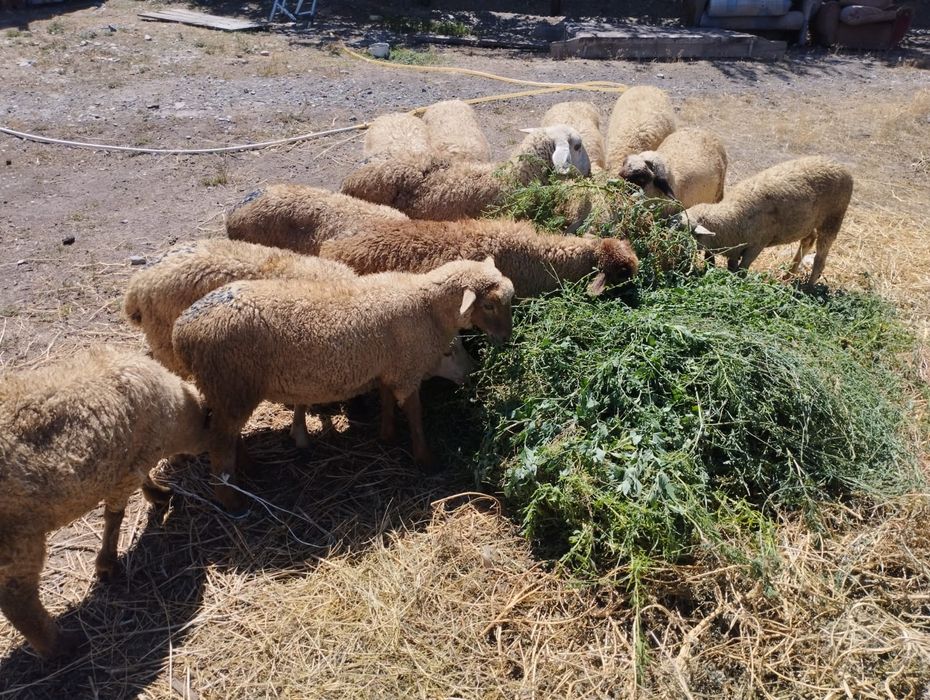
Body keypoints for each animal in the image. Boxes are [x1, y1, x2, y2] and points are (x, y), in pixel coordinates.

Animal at [0, 346, 209, 659]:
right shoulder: (130, 465)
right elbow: (115, 515)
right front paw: (108, 563)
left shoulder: (131, 460)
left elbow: (140, 483)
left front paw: (159, 493)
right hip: (18, 538)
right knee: (18, 601)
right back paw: (62, 646)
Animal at [172, 258, 514, 514]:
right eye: (490, 306)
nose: (506, 339)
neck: (426, 306)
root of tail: (182, 332)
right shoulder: (407, 369)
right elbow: (415, 415)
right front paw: (426, 460)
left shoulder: (388, 366)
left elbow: (386, 401)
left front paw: (387, 436)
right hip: (233, 383)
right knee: (219, 442)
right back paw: (233, 501)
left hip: (225, 389)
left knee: (228, 435)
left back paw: (251, 468)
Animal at [679, 156, 853, 286]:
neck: (731, 217)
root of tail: (841, 167)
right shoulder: (735, 246)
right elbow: (733, 267)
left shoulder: (757, 245)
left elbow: (742, 269)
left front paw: (737, 283)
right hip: (808, 222)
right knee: (808, 241)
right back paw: (787, 276)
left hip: (833, 218)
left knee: (820, 257)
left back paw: (808, 288)